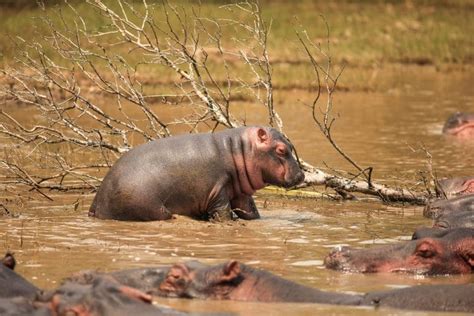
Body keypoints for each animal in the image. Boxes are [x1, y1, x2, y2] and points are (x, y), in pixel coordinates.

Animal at [89, 124, 304, 221]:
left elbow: (250, 211)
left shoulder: (241, 193)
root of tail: (97, 202)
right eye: (281, 150)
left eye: (291, 145)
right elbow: (223, 212)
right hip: (150, 207)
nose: (301, 175)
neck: (238, 149)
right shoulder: (218, 188)